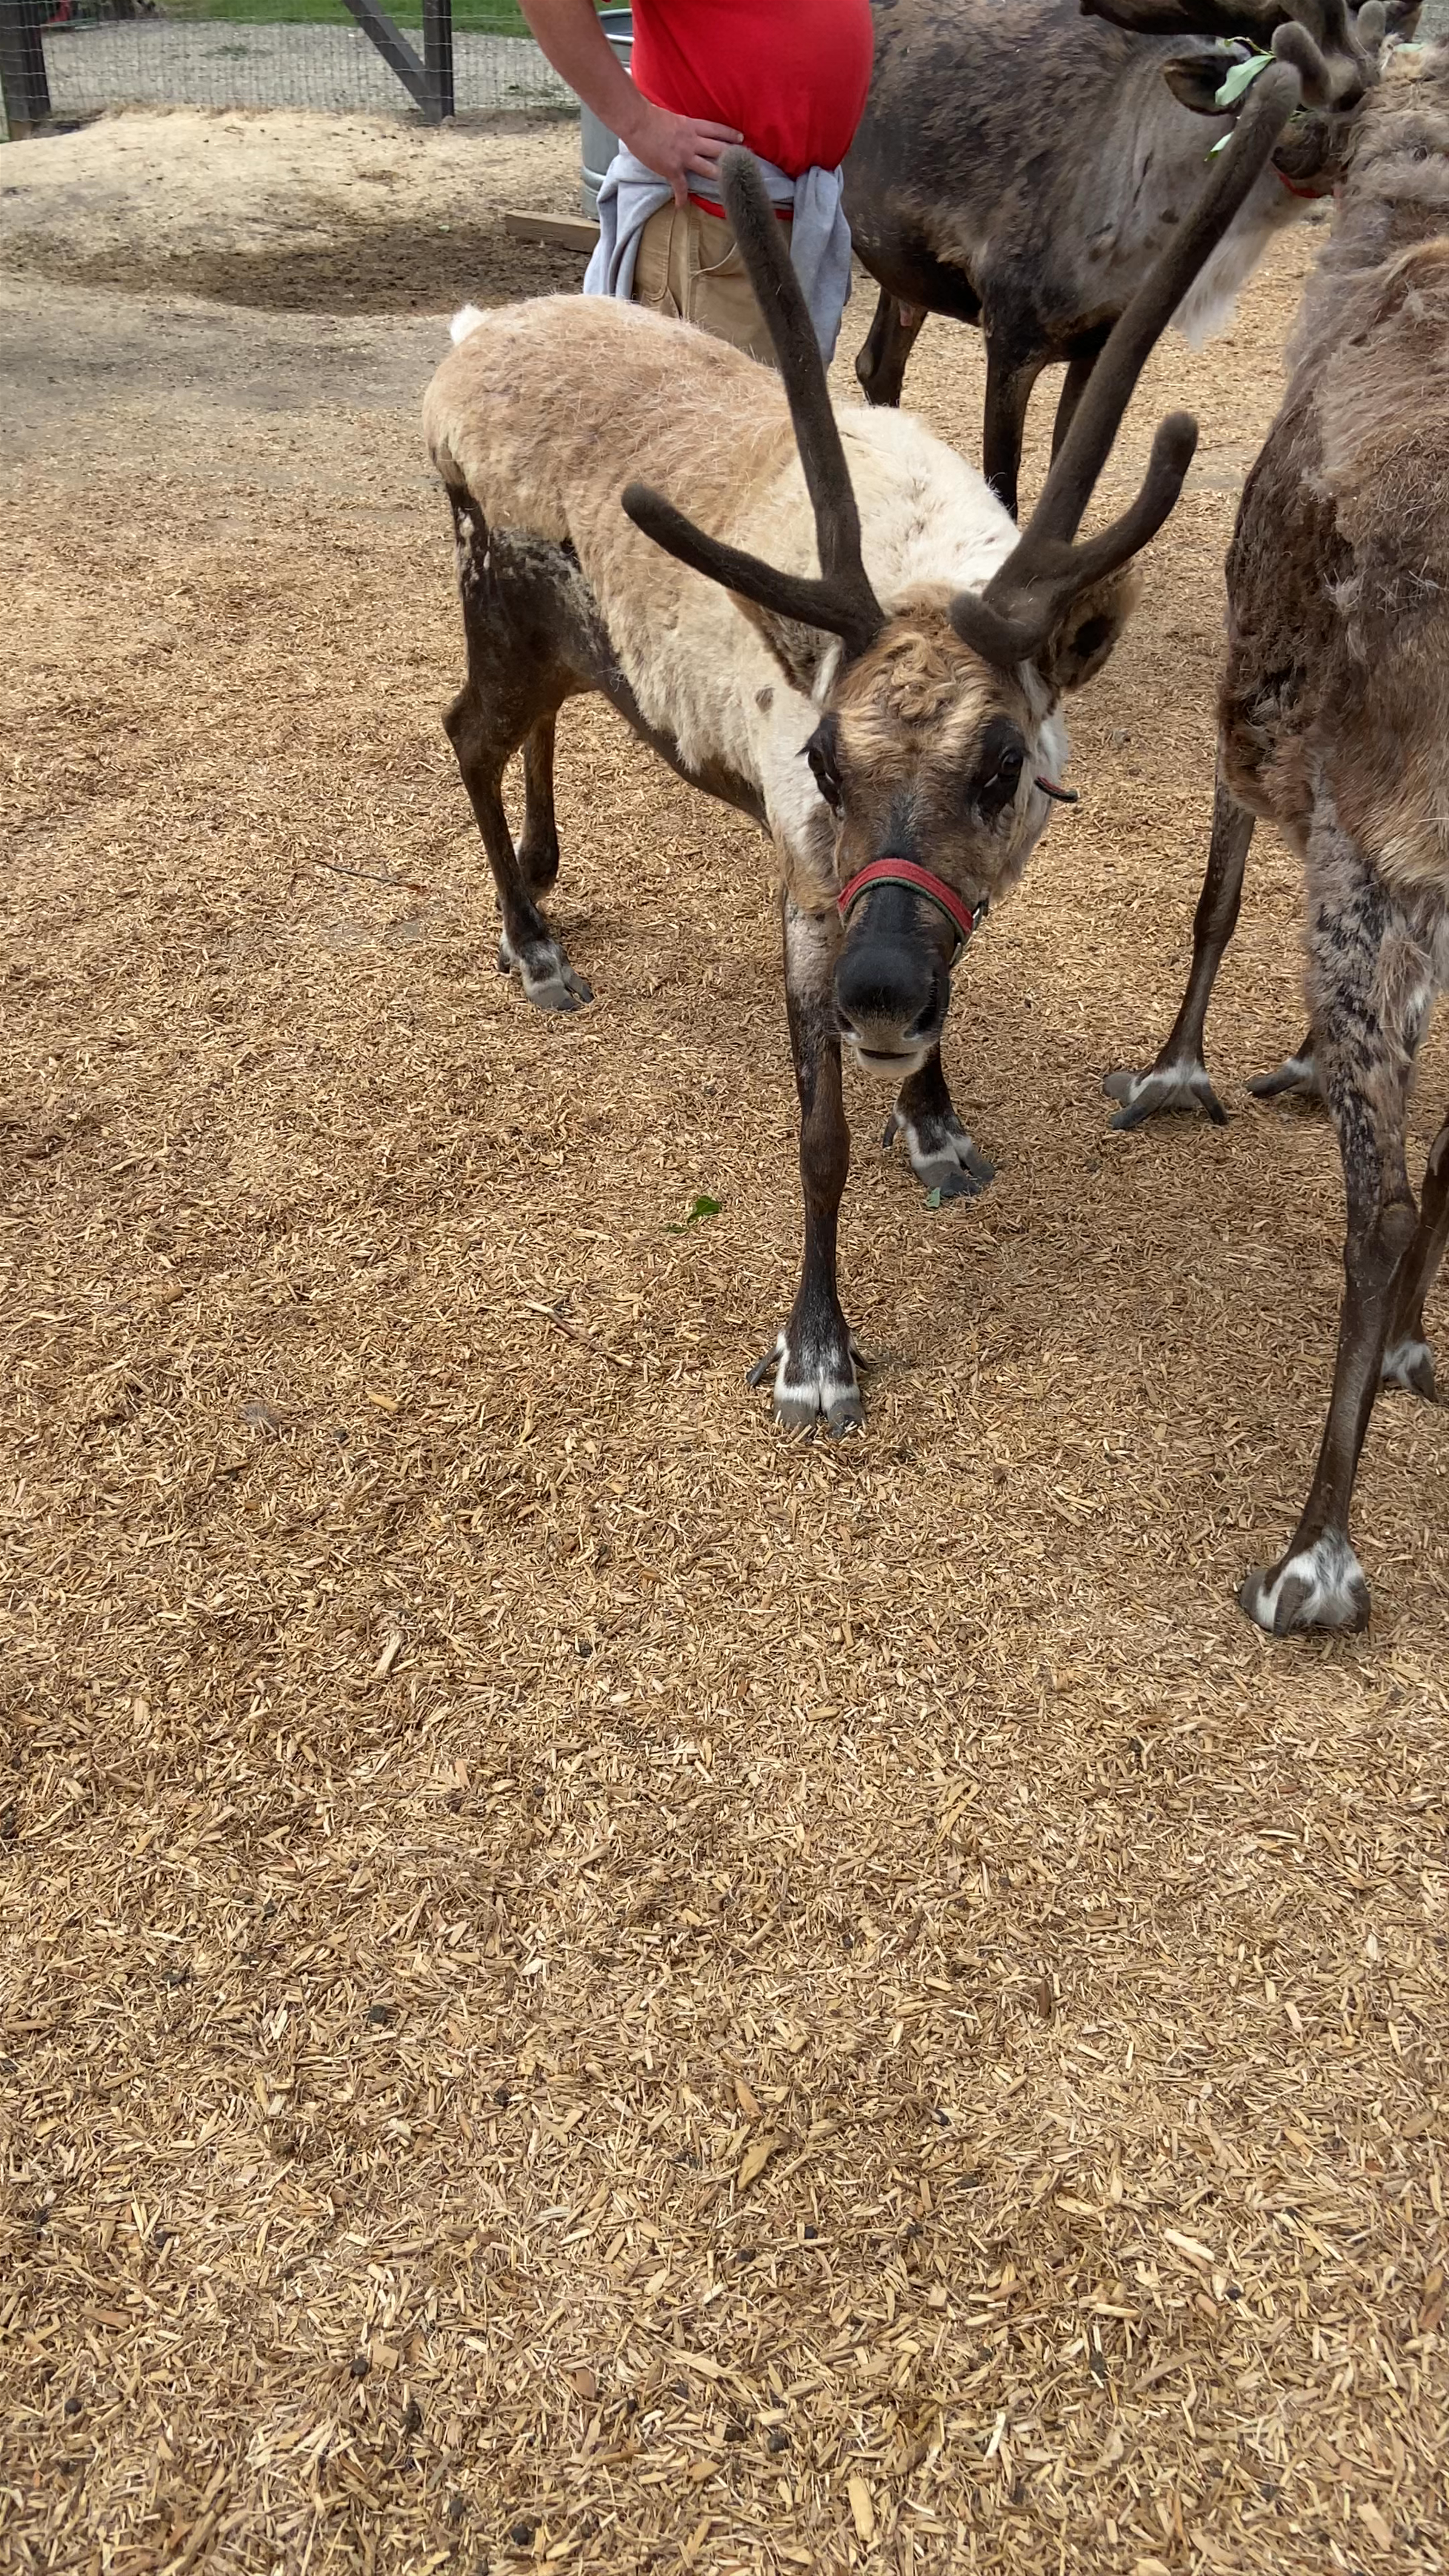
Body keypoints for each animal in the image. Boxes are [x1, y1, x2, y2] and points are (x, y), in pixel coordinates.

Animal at [420, 72, 1301, 1435]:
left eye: (1004, 768)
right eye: (824, 763)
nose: (879, 994)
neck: (924, 565)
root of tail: (467, 341)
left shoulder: (952, 899)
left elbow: (949, 1013)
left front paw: (935, 1126)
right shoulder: (807, 887)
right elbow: (818, 1139)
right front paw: (817, 1351)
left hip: (566, 643)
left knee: (535, 723)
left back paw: (549, 865)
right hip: (497, 606)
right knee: (463, 730)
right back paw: (533, 944)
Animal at [844, 0, 1408, 520]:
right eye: (1334, 100)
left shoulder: (1102, 340)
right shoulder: (1009, 329)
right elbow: (1004, 485)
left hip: (902, 274)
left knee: (876, 363)